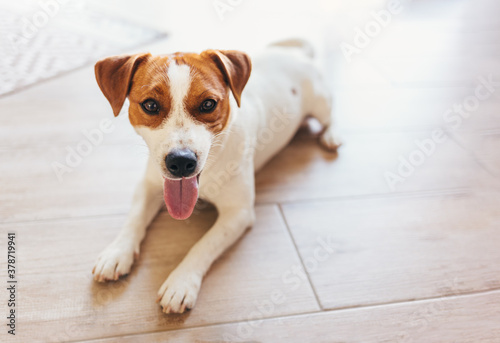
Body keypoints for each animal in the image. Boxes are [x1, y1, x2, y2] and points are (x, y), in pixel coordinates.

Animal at [92, 39, 340, 314]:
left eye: (208, 104)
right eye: (150, 105)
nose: (181, 161)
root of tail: (292, 53)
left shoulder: (238, 213)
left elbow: (204, 244)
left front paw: (181, 283)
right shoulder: (148, 185)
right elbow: (134, 219)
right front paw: (116, 253)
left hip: (320, 103)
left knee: (331, 115)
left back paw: (332, 135)